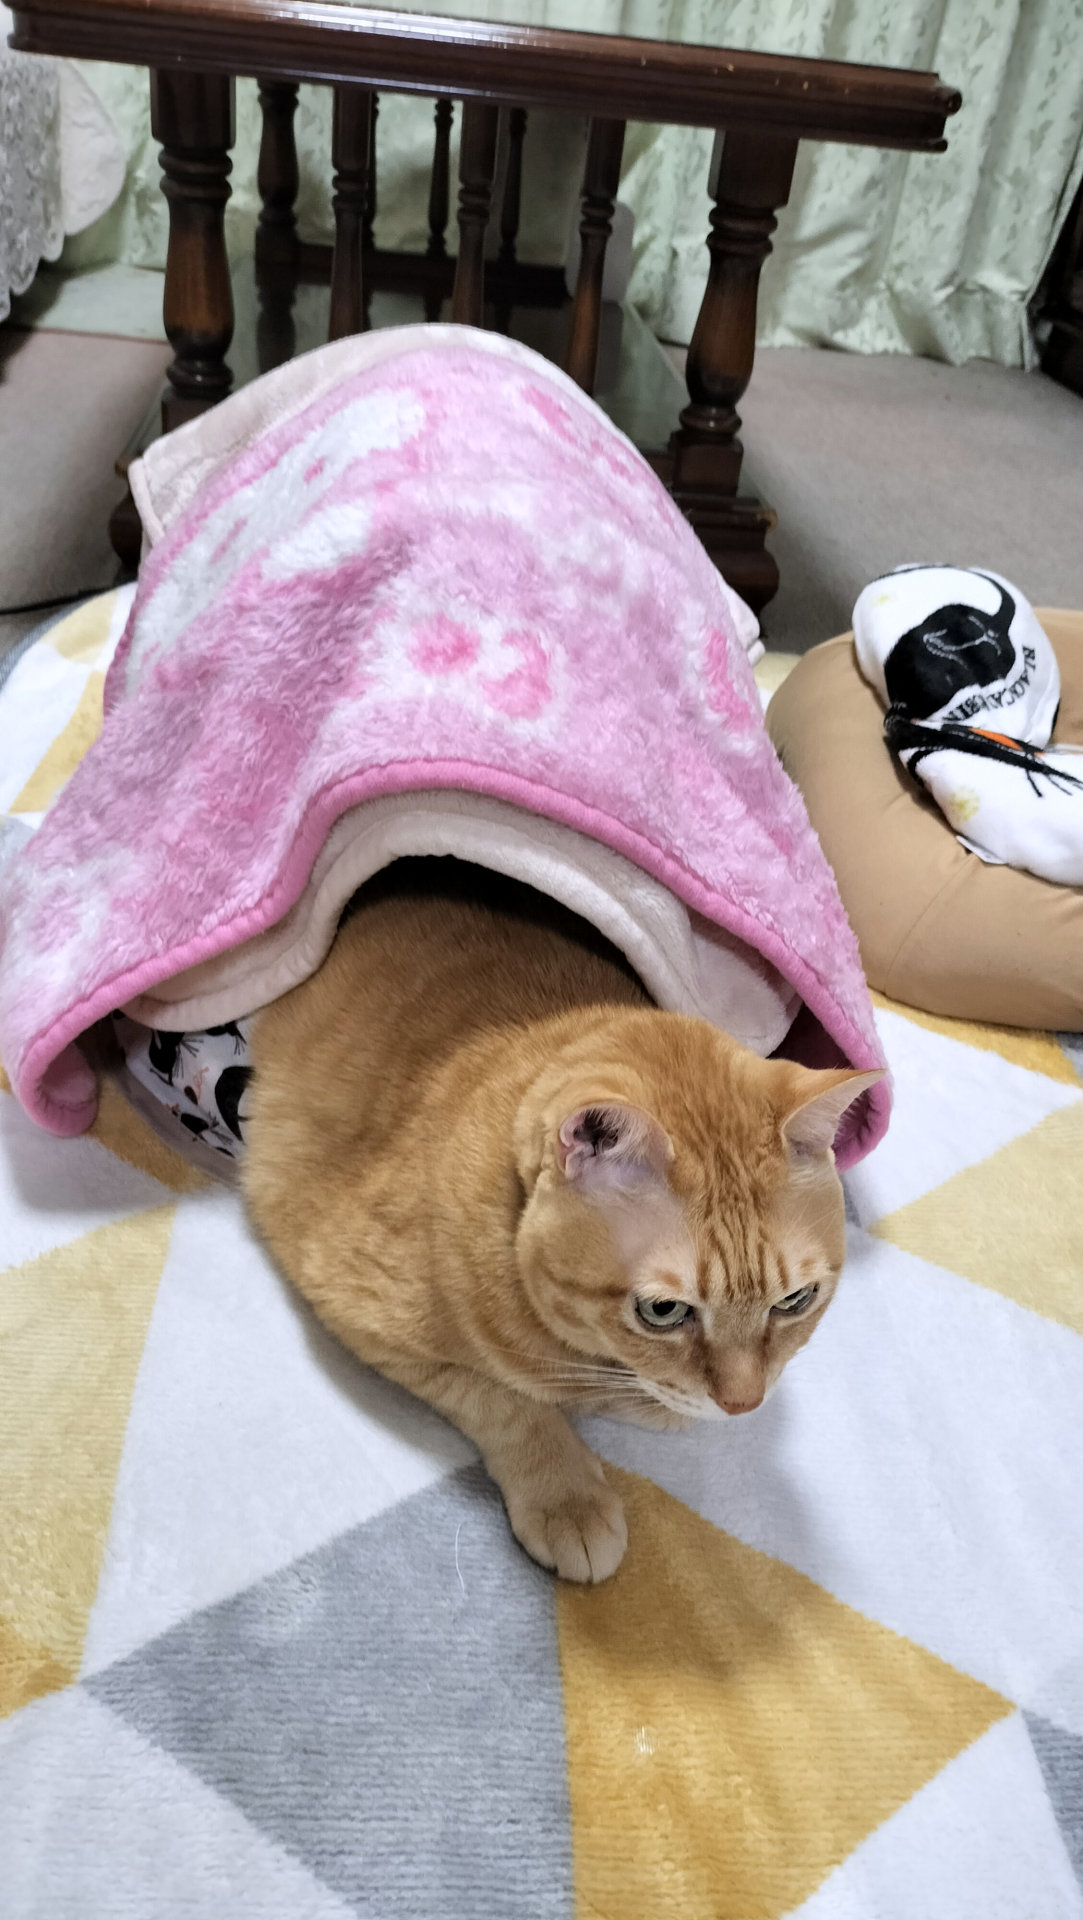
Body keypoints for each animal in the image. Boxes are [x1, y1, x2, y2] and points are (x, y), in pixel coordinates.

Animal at [242, 859, 880, 1584]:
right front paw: (567, 1497)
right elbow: (505, 1400)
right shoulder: (362, 1312)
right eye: (663, 1312)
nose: (744, 1404)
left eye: (796, 1300)